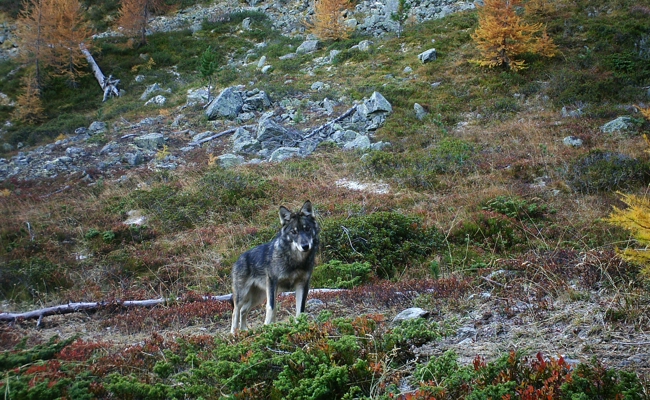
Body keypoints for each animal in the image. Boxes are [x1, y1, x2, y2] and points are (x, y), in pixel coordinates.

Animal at [230, 201, 319, 334]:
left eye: (307, 229)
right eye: (294, 232)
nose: (305, 246)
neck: (295, 260)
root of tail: (238, 259)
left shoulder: (303, 284)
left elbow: (300, 310)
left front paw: (300, 327)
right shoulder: (273, 283)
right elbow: (272, 308)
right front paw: (268, 327)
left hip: (258, 297)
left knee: (243, 310)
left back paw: (244, 331)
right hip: (243, 295)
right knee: (235, 312)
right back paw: (233, 334)